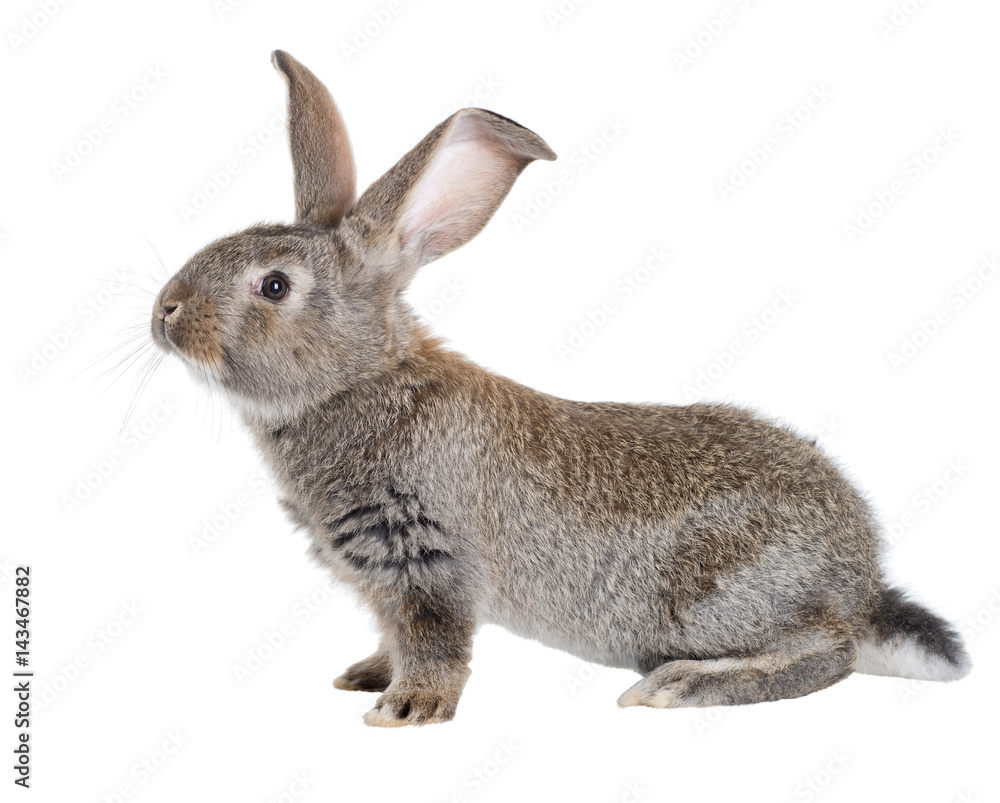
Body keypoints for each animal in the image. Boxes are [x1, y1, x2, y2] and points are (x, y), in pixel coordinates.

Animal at [151, 50, 970, 727]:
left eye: (274, 285)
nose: (165, 313)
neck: (361, 376)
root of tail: (860, 577)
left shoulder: (428, 558)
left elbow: (436, 638)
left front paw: (406, 709)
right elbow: (392, 634)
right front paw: (368, 676)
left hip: (716, 597)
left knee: (829, 650)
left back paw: (679, 686)